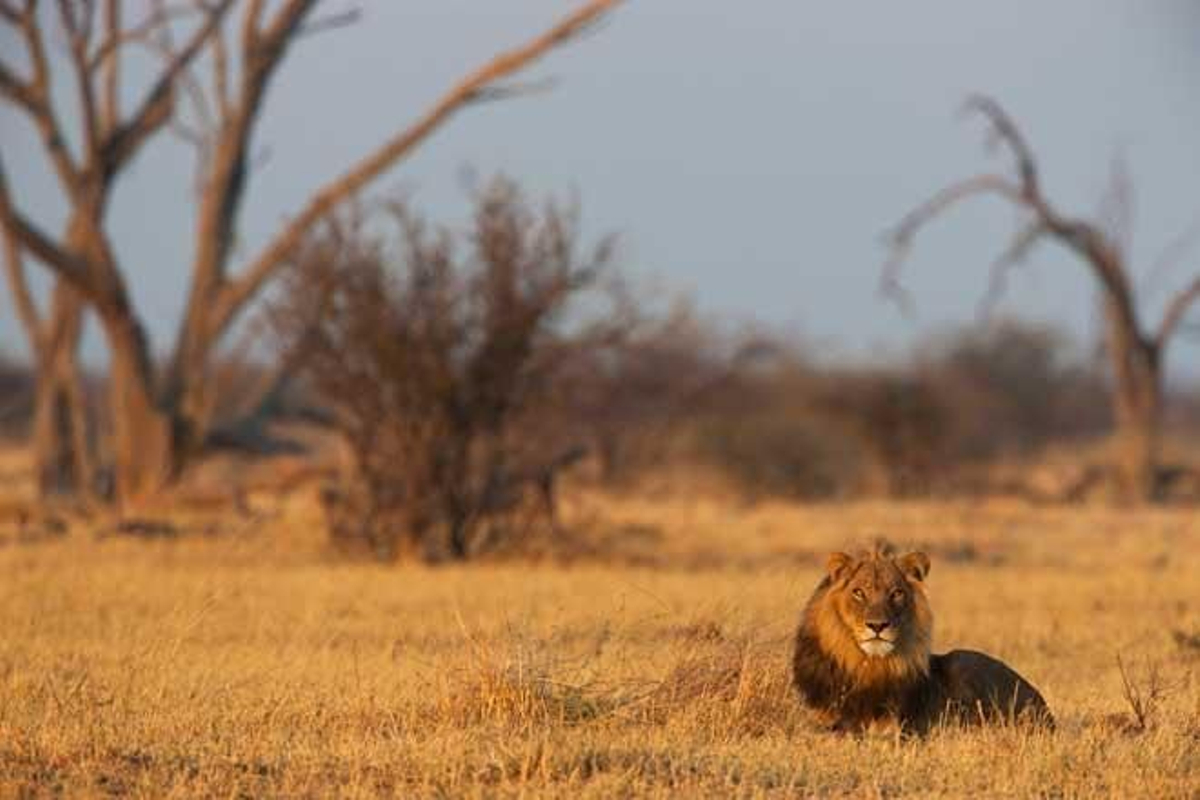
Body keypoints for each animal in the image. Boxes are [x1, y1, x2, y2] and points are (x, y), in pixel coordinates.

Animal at [792, 542, 1056, 734]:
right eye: (858, 592)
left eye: (896, 593)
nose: (877, 625)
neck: (865, 663)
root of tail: (1046, 710)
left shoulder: (894, 728)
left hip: (961, 661)